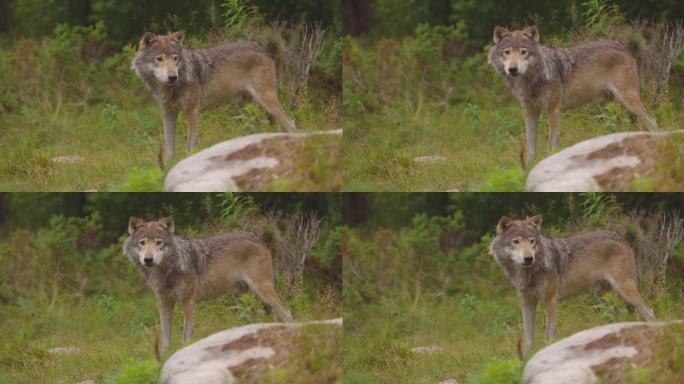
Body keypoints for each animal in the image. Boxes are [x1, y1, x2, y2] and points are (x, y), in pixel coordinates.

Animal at [124, 218, 292, 352]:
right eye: (142, 242)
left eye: (158, 242)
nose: (148, 259)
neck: (166, 271)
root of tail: (256, 238)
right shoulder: (164, 303)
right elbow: (165, 338)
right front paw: (164, 358)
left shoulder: (188, 301)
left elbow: (186, 336)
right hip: (243, 297)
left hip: (263, 292)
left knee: (287, 312)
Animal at [131, 31, 296, 165]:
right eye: (159, 59)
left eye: (175, 58)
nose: (172, 77)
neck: (171, 88)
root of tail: (261, 49)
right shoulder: (167, 114)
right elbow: (169, 148)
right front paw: (167, 169)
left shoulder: (192, 110)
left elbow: (190, 144)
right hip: (246, 109)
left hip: (266, 102)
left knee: (291, 123)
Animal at [486, 26, 656, 164]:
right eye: (507, 52)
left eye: (523, 52)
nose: (513, 69)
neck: (532, 80)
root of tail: (622, 46)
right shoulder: (529, 112)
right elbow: (531, 148)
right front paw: (528, 168)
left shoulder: (553, 110)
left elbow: (551, 146)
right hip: (615, 105)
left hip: (627, 100)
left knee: (652, 121)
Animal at [488, 214, 656, 352]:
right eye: (516, 241)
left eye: (532, 241)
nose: (529, 258)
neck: (528, 273)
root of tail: (620, 237)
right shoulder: (526, 302)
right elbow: (528, 339)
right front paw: (526, 358)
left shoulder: (551, 300)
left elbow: (548, 336)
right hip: (603, 296)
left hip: (624, 290)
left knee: (649, 312)